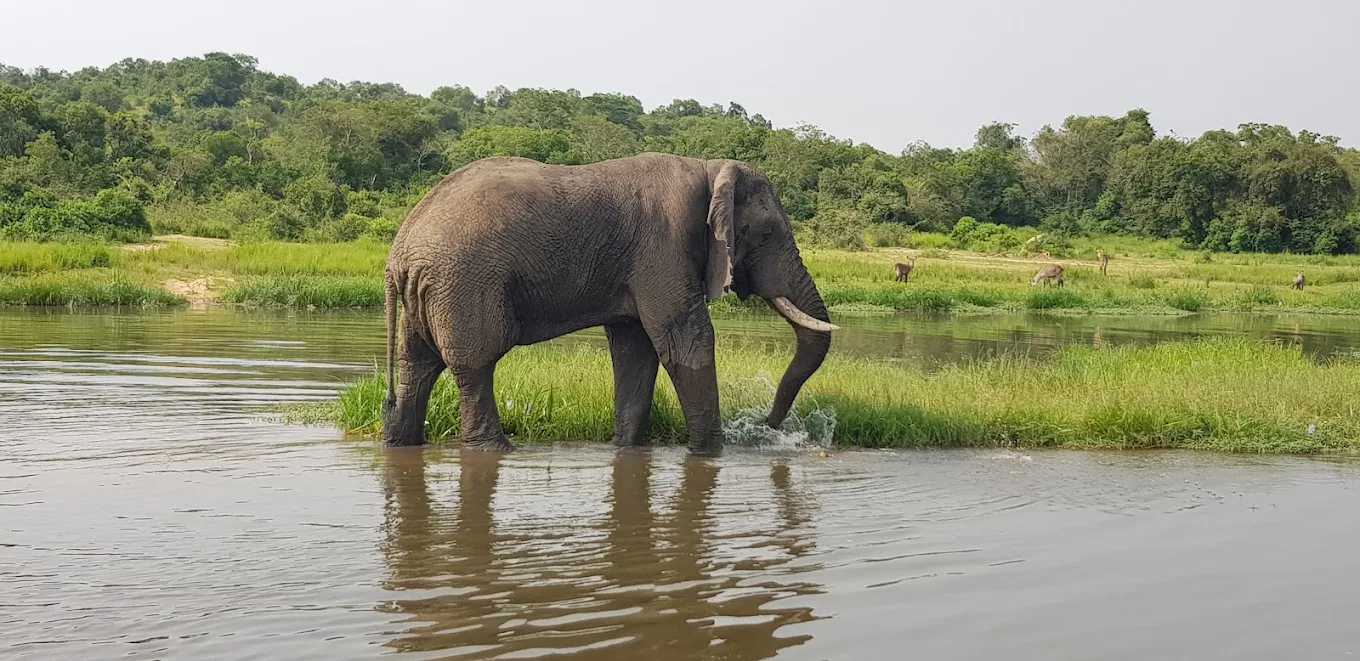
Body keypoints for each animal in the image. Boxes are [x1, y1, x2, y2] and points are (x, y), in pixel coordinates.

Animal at [380, 153, 839, 455]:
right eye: (764, 235)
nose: (769, 424)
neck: (709, 170)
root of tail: (399, 251)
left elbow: (635, 350)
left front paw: (625, 449)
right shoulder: (663, 248)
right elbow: (685, 343)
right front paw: (710, 455)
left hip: (430, 291)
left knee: (417, 364)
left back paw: (400, 444)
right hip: (464, 282)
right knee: (475, 364)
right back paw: (495, 451)